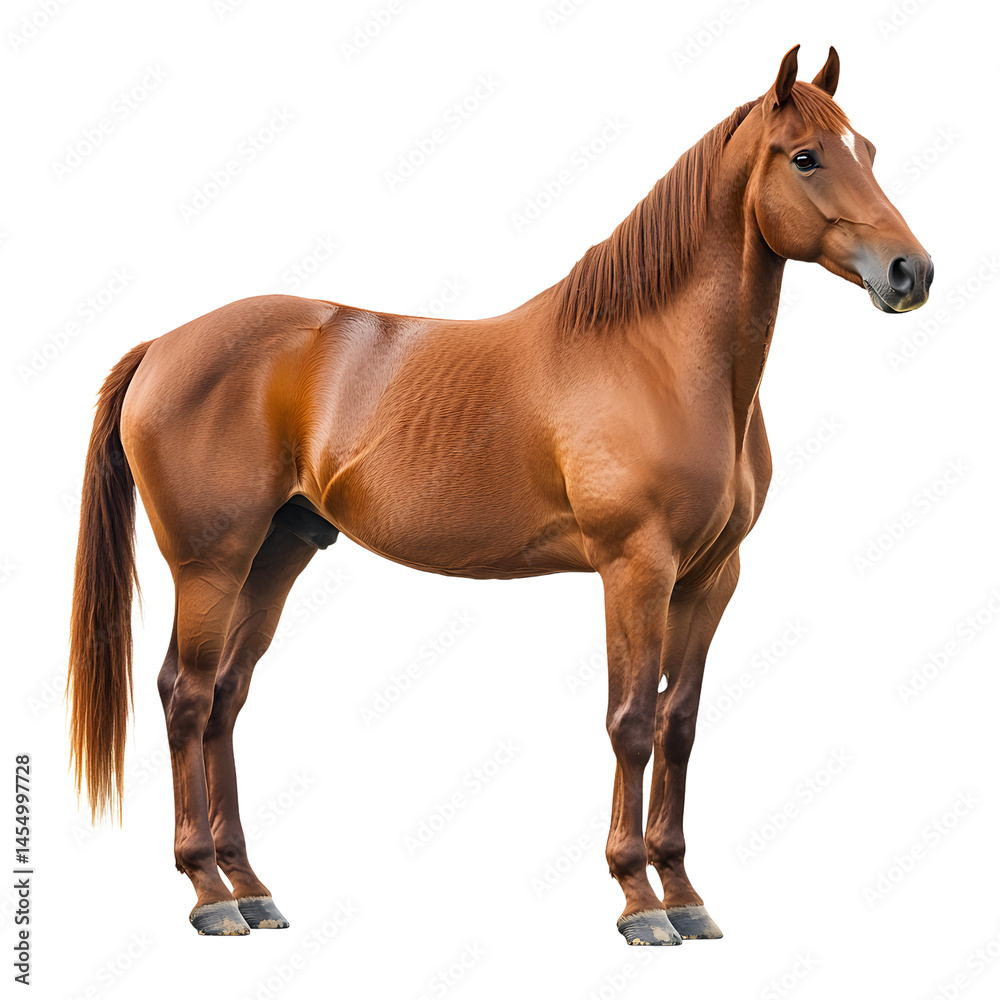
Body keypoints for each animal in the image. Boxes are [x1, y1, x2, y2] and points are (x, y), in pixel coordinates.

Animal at [67, 44, 933, 943]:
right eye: (805, 158)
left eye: (867, 150)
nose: (912, 272)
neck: (658, 359)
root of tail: (163, 344)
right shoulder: (635, 569)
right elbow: (631, 723)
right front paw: (638, 902)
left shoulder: (710, 577)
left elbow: (679, 725)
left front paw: (686, 896)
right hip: (211, 563)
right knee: (186, 696)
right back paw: (208, 892)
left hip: (278, 552)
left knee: (227, 699)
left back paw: (251, 886)